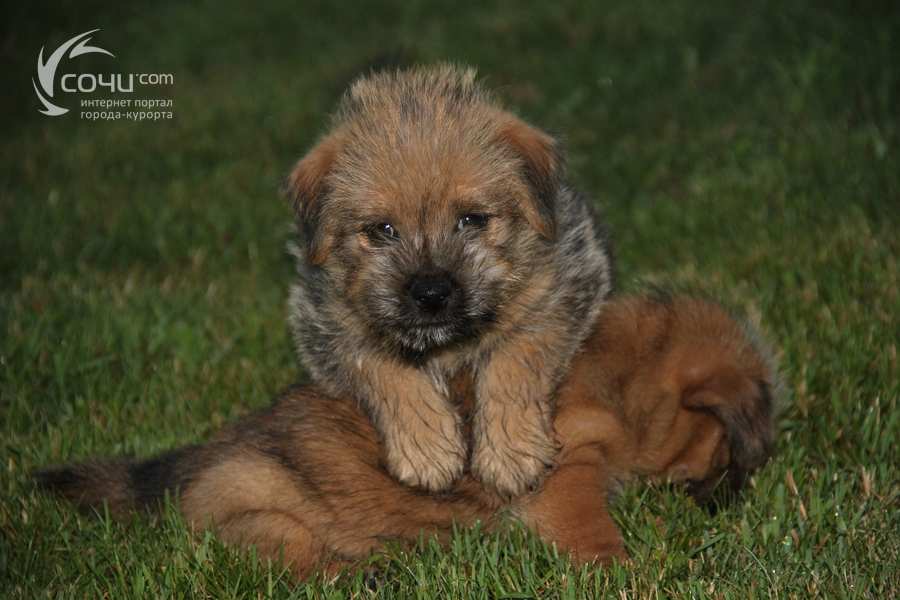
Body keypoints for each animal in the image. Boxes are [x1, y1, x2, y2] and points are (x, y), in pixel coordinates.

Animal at [38, 292, 776, 580]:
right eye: (731, 453)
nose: (736, 499)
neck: (624, 375)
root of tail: (183, 467)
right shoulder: (564, 477)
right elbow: (594, 533)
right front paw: (628, 570)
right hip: (261, 510)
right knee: (299, 559)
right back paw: (365, 569)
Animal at [284, 65, 616, 496]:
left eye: (472, 220)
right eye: (382, 230)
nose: (431, 293)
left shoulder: (559, 294)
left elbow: (515, 355)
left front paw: (511, 449)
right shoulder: (327, 325)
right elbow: (382, 365)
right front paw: (427, 446)